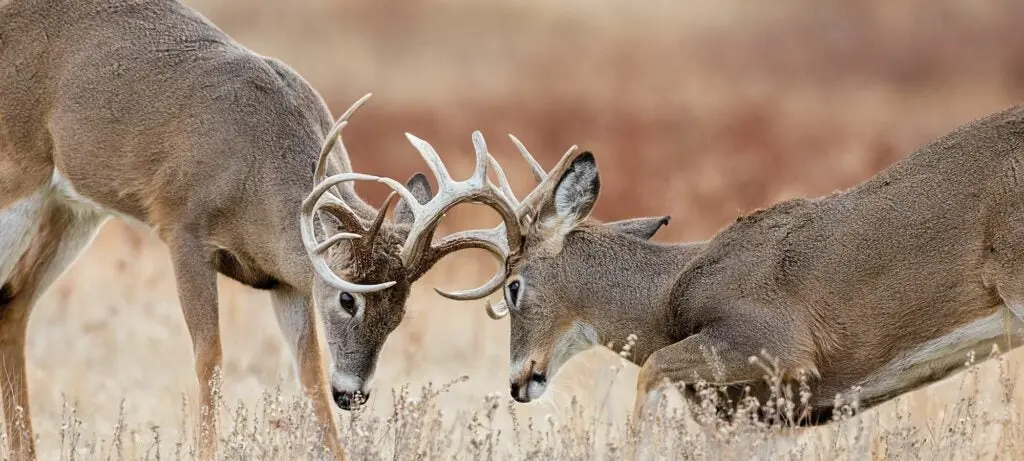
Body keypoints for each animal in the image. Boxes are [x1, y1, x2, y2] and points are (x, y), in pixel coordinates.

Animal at [0, 1, 516, 458]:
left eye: (400, 313)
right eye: (347, 299)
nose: (353, 395)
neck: (254, 177)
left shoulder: (286, 281)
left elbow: (309, 373)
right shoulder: (182, 227)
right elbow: (209, 359)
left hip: (74, 208)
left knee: (14, 302)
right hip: (20, 178)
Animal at [452, 103, 1024, 424]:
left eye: (512, 287)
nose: (517, 383)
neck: (668, 296)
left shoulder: (776, 341)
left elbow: (650, 375)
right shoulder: (766, 416)